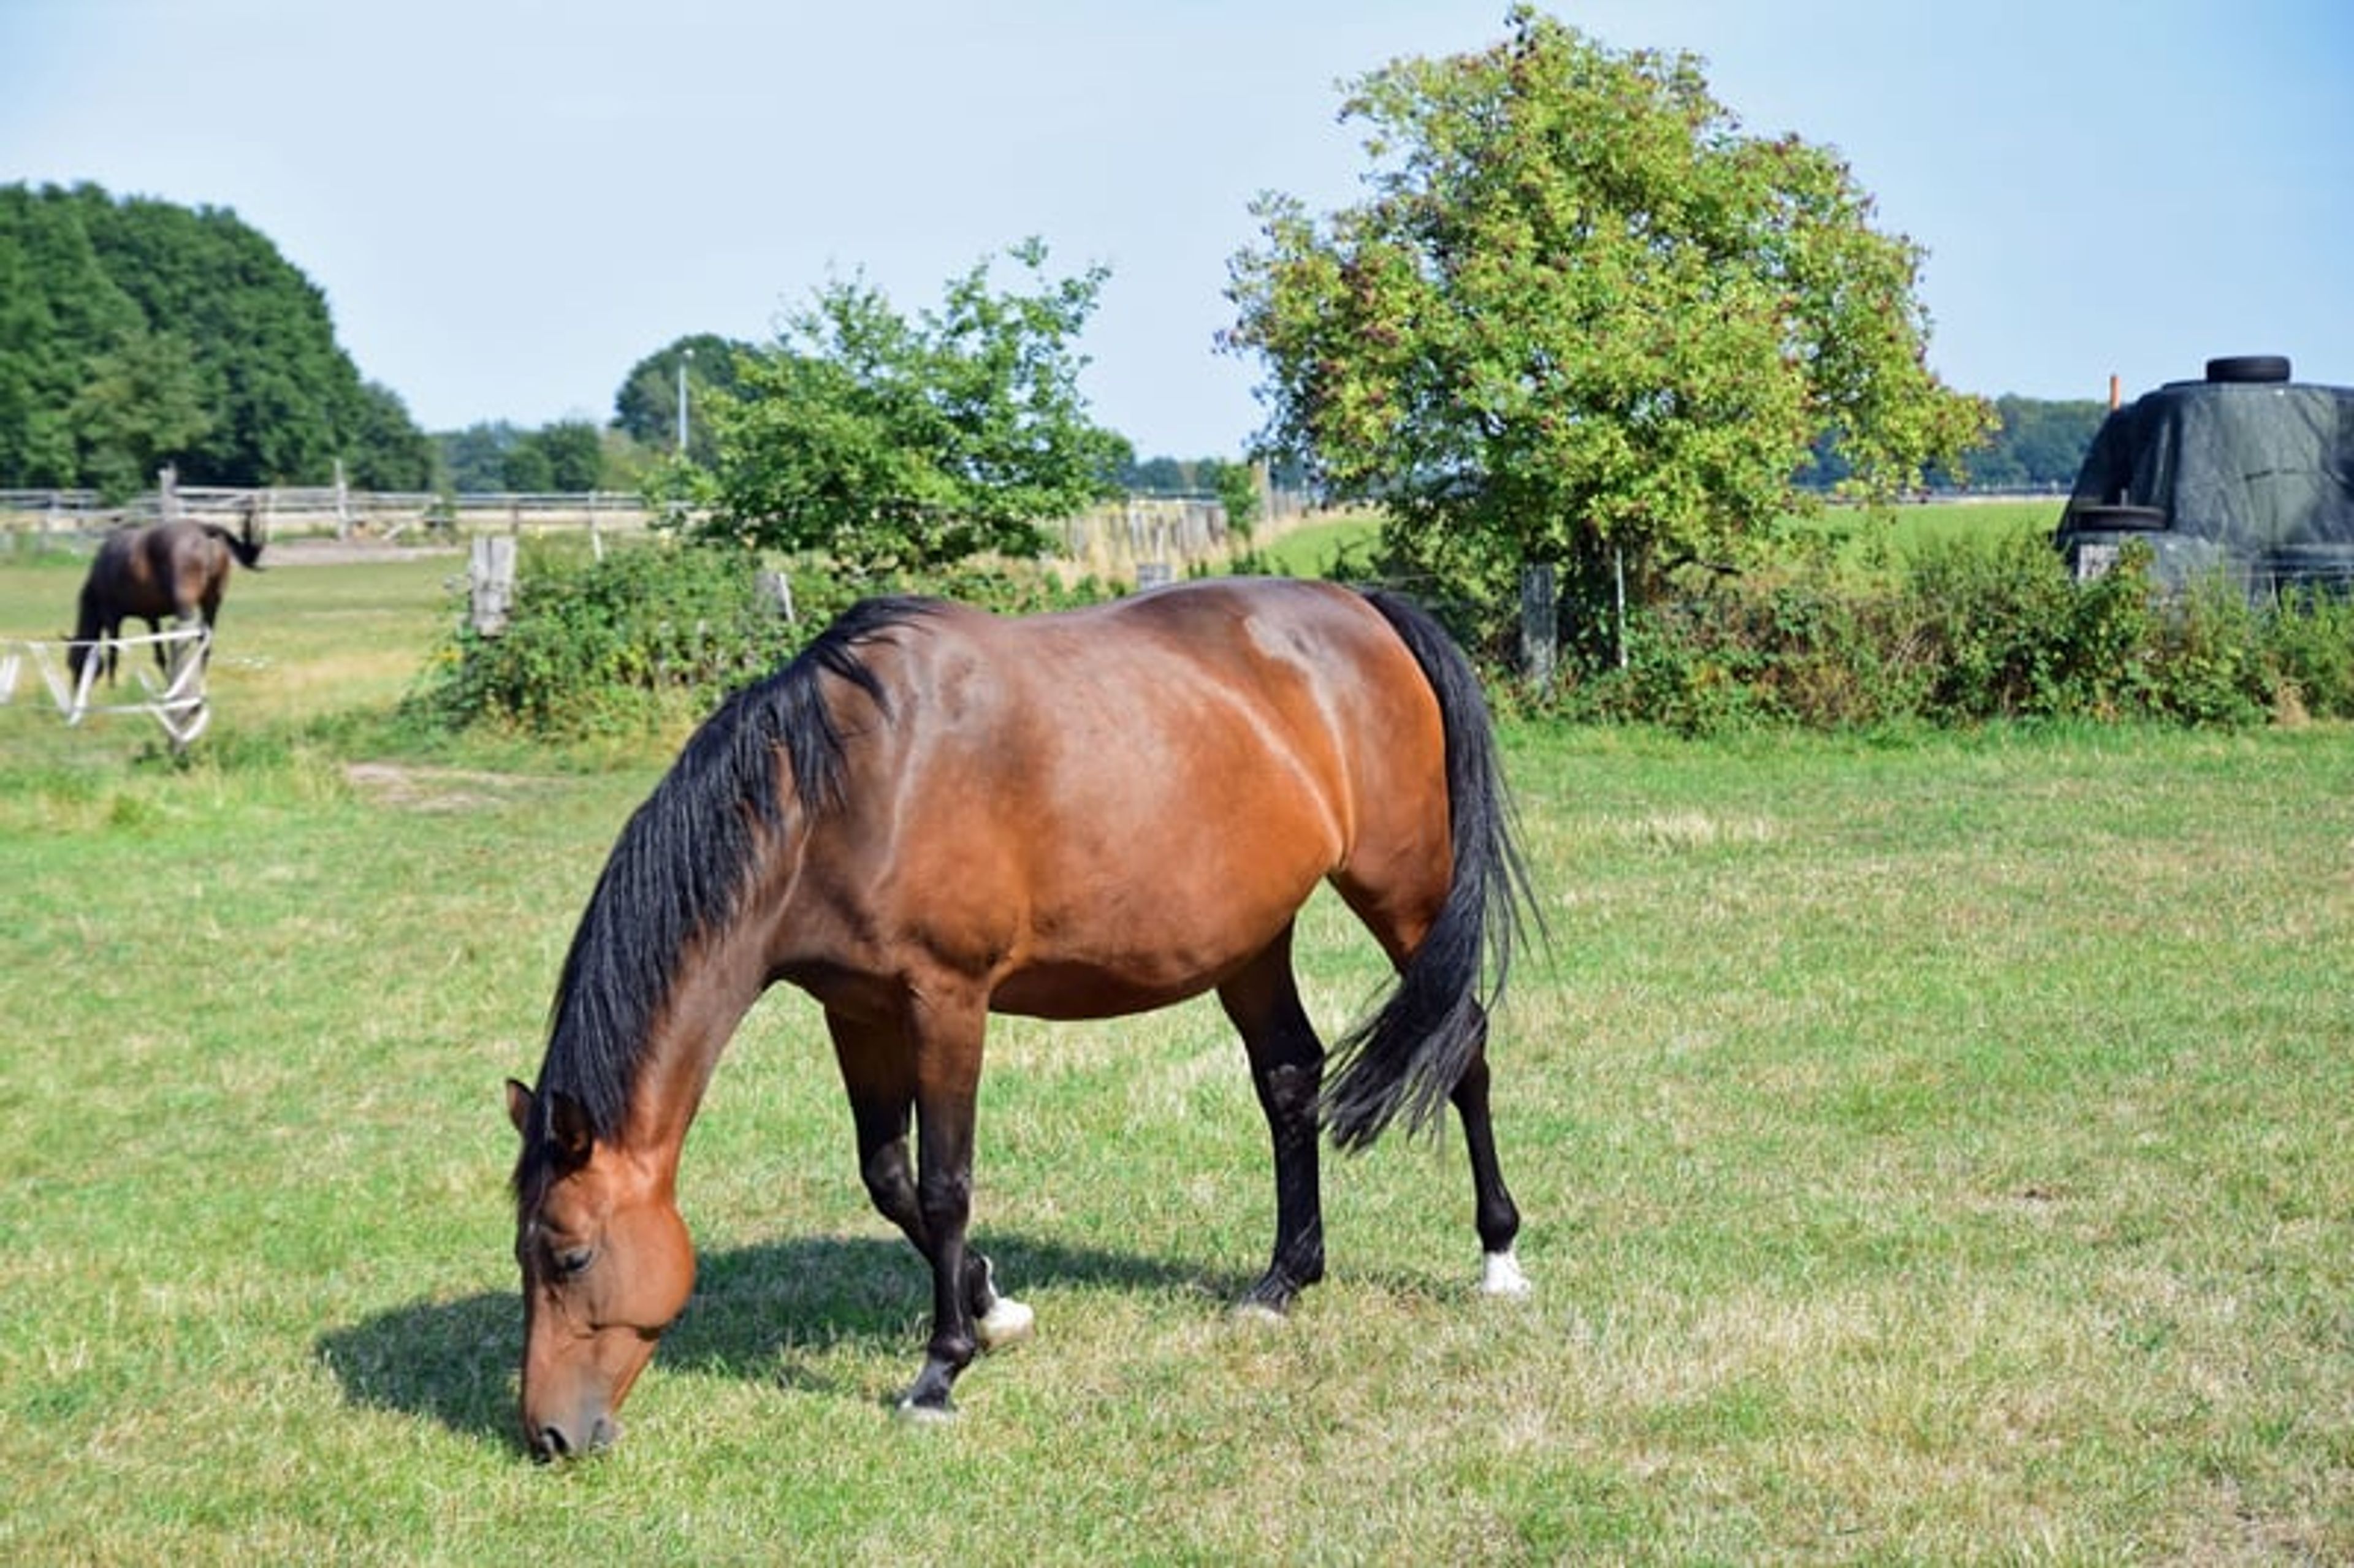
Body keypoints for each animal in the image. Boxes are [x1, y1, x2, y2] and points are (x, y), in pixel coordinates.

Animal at [66, 510, 265, 686]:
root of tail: (203, 528)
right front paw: (167, 680)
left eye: (74, 661)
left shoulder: (111, 618)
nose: (76, 689)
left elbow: (113, 652)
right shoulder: (151, 618)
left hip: (186, 607)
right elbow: (159, 654)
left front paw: (112, 686)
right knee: (205, 643)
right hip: (211, 604)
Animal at [504, 575, 1536, 1459]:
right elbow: (889, 1178)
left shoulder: (948, 1001)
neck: (844, 794)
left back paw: (1498, 1257)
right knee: (1289, 1077)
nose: (549, 1435)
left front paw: (940, 1371)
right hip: (1253, 938)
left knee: (1465, 1047)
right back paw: (1283, 1280)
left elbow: (945, 1184)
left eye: (570, 1256)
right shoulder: (855, 1010)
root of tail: (1362, 607)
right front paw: (996, 1309)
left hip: (1406, 891)